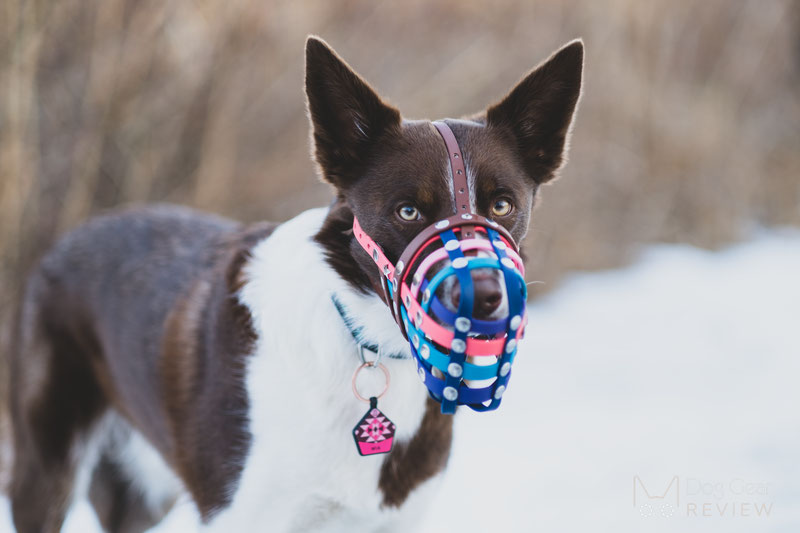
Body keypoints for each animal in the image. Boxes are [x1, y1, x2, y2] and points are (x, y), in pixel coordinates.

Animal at [4, 35, 580, 528]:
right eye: (408, 211)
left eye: (502, 206)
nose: (484, 299)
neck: (368, 346)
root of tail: (69, 238)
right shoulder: (244, 515)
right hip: (48, 470)